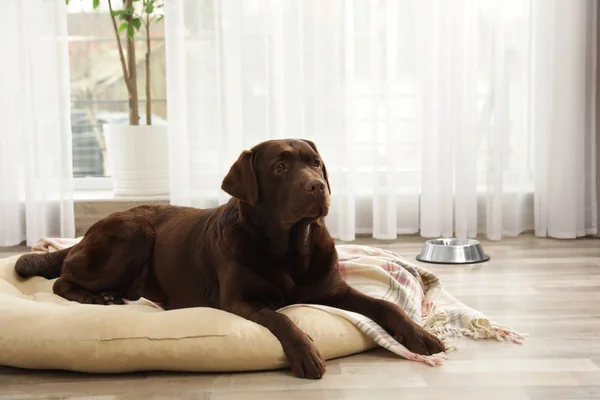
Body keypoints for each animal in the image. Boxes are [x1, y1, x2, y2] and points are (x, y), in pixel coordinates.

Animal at [15, 139, 446, 380]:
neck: (289, 247)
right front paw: (306, 352)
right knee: (63, 278)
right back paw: (98, 298)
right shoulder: (240, 300)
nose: (317, 186)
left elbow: (386, 306)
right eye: (280, 166)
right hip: (133, 232)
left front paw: (421, 335)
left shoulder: (333, 290)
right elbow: (282, 318)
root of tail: (90, 230)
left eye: (316, 163)